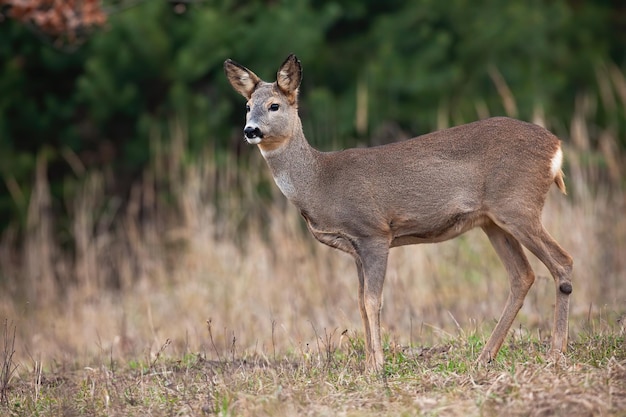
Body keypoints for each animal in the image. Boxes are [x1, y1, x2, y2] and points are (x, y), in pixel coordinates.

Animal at [223, 53, 572, 368]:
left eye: (274, 106)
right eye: (247, 107)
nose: (250, 131)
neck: (320, 182)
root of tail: (556, 148)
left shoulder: (374, 233)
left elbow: (372, 301)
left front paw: (377, 366)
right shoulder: (355, 248)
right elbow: (360, 303)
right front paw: (367, 365)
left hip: (518, 205)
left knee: (562, 261)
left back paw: (555, 354)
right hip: (493, 221)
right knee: (522, 276)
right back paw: (485, 357)